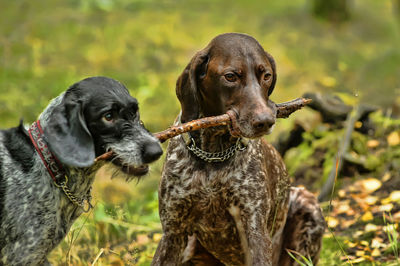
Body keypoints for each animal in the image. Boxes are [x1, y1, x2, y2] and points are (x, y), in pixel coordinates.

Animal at [152, 33, 324, 266]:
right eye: (231, 76)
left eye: (267, 75)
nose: (265, 121)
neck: (213, 155)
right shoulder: (172, 233)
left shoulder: (255, 229)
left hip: (307, 206)